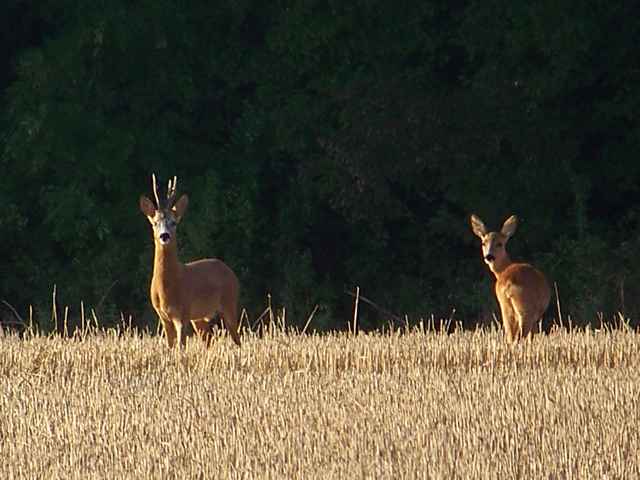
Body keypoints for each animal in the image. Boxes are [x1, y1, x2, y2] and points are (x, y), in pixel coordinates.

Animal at [139, 174, 241, 346]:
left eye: (174, 222)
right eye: (155, 223)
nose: (164, 235)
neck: (167, 288)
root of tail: (229, 271)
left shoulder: (183, 312)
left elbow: (180, 346)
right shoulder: (163, 316)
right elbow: (170, 346)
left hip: (229, 302)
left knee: (237, 338)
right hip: (200, 318)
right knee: (209, 340)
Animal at [468, 214, 552, 342]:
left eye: (499, 243)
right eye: (483, 243)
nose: (489, 256)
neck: (504, 268)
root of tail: (509, 283)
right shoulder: (536, 315)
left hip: (505, 306)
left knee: (510, 336)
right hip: (526, 309)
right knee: (521, 336)